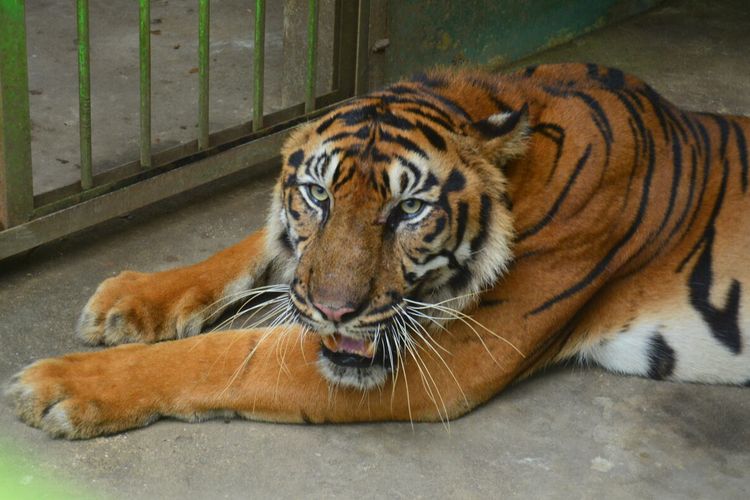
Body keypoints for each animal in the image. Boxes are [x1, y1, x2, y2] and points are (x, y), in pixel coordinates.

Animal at [7, 61, 750, 438]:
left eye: (410, 210)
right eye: (317, 196)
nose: (335, 313)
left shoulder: (447, 353)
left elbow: (227, 358)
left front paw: (64, 384)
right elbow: (252, 249)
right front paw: (127, 299)